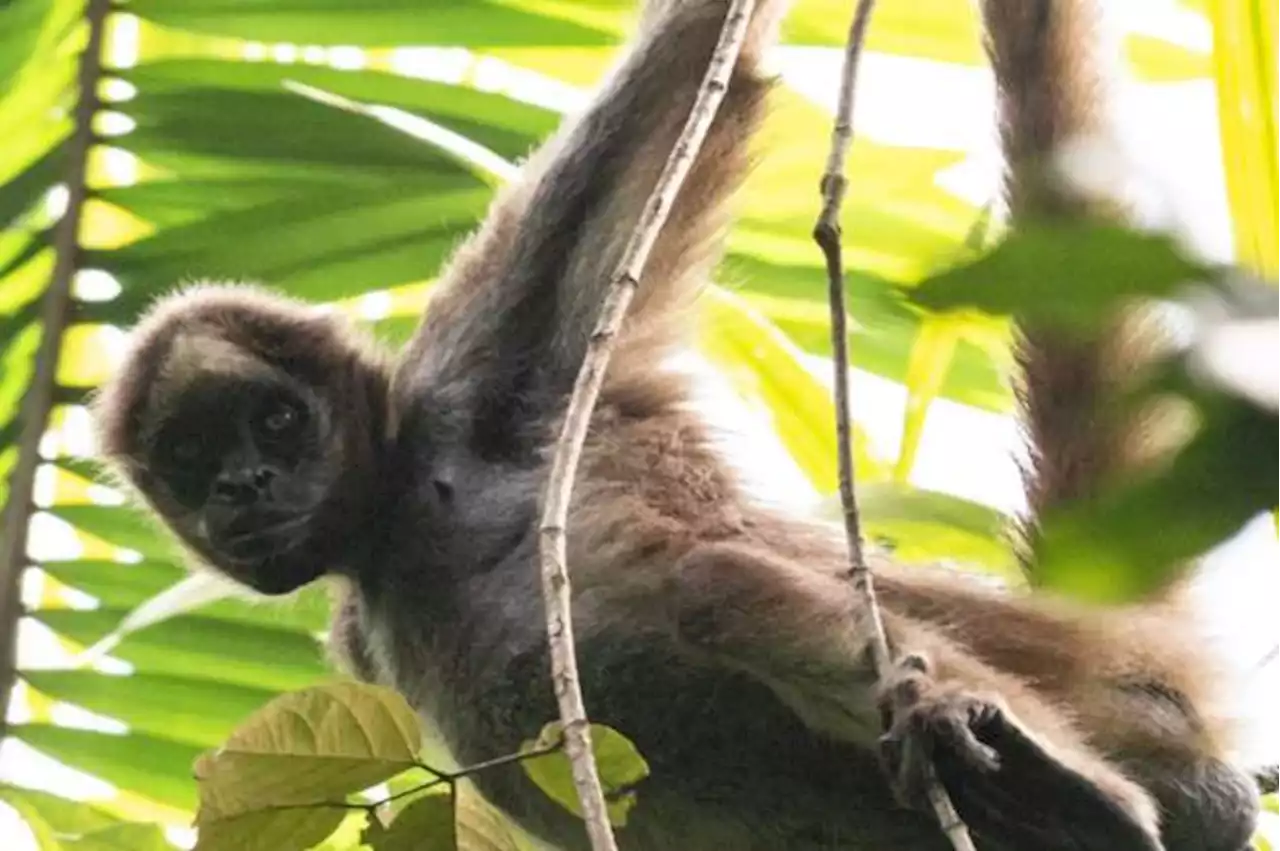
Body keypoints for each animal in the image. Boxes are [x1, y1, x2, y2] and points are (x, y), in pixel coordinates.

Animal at [92, 1, 1259, 849]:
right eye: (193, 458)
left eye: (278, 422)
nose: (244, 486)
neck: (394, 529)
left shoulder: (485, 368)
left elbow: (702, 55)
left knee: (711, 582)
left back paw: (1083, 799)